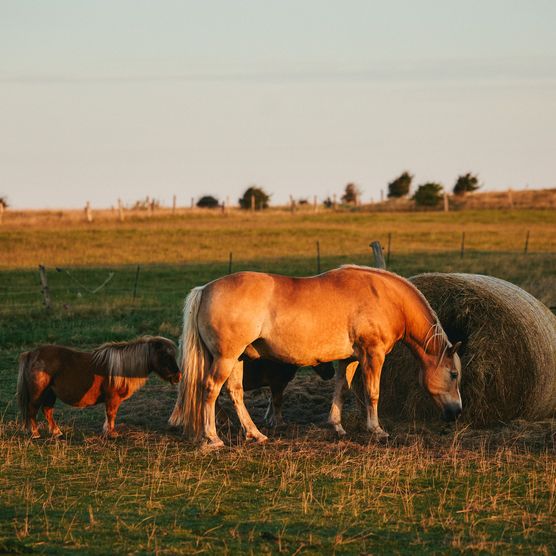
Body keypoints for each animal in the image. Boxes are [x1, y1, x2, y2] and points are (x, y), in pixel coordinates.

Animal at [17, 334, 180, 438]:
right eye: (165, 356)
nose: (178, 376)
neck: (122, 368)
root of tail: (32, 353)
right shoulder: (112, 399)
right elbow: (111, 414)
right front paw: (112, 433)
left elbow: (109, 415)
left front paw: (107, 431)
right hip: (38, 393)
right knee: (32, 410)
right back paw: (35, 434)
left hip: (50, 393)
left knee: (47, 411)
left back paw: (57, 432)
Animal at [173, 264, 460, 448]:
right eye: (454, 374)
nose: (456, 411)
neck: (385, 297)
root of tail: (205, 289)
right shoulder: (372, 355)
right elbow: (373, 393)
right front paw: (377, 430)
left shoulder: (349, 359)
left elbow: (341, 389)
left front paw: (337, 426)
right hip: (225, 358)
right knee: (210, 389)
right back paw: (213, 438)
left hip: (237, 359)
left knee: (235, 392)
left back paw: (255, 434)